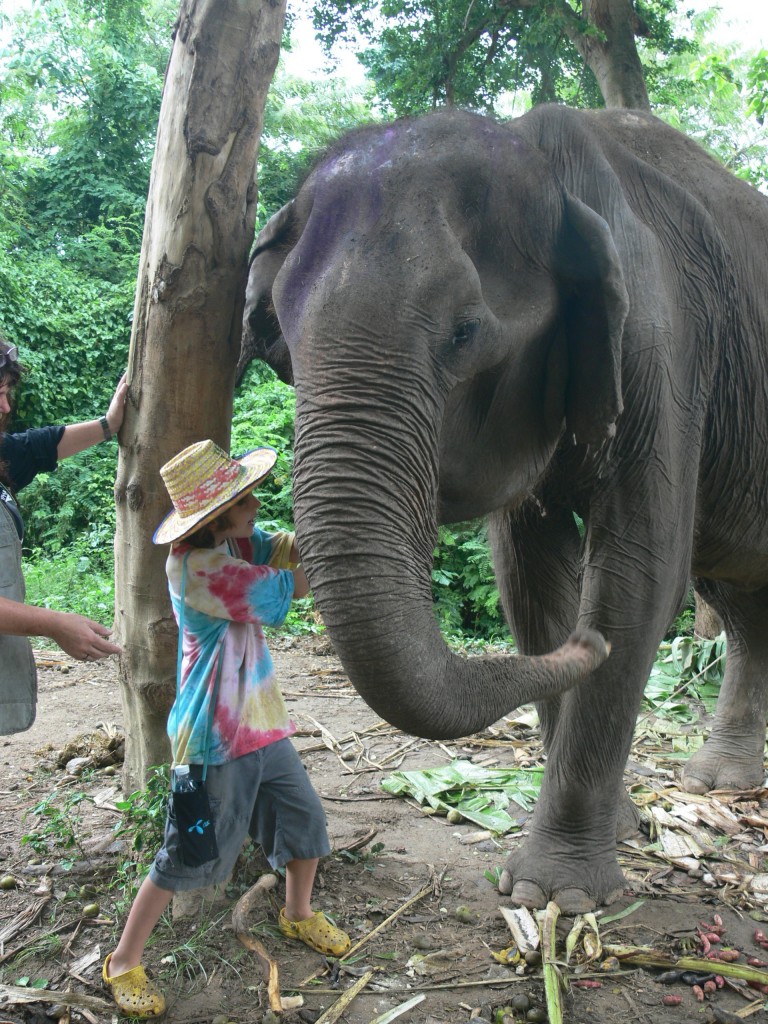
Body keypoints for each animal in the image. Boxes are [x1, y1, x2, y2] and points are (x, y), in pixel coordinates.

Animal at [241, 108, 768, 917]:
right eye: (283, 341)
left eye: (465, 332)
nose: (587, 645)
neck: (546, 160)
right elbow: (528, 577)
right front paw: (614, 828)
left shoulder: (667, 349)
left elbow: (640, 575)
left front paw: (559, 895)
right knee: (738, 601)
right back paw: (717, 782)